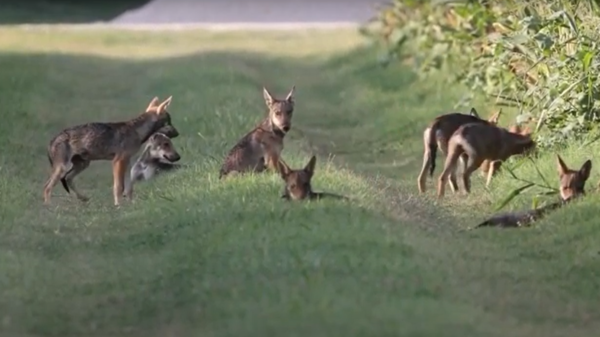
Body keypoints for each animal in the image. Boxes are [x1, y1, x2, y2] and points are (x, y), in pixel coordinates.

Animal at [43, 94, 177, 205]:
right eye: (169, 122)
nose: (178, 133)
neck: (136, 131)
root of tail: (53, 139)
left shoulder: (127, 162)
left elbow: (129, 188)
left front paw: (131, 204)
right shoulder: (118, 161)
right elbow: (118, 187)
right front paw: (118, 205)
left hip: (83, 164)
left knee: (68, 179)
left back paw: (83, 198)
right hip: (63, 167)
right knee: (47, 187)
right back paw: (49, 208)